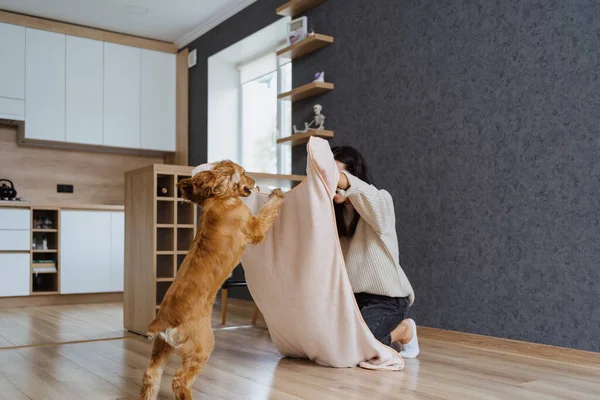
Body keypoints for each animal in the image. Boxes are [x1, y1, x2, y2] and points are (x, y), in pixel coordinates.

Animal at [138, 160, 286, 400]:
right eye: (244, 172)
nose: (254, 181)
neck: (219, 198)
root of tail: (165, 322)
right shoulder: (254, 227)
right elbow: (266, 212)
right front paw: (277, 193)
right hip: (202, 345)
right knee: (179, 379)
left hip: (161, 347)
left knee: (151, 375)